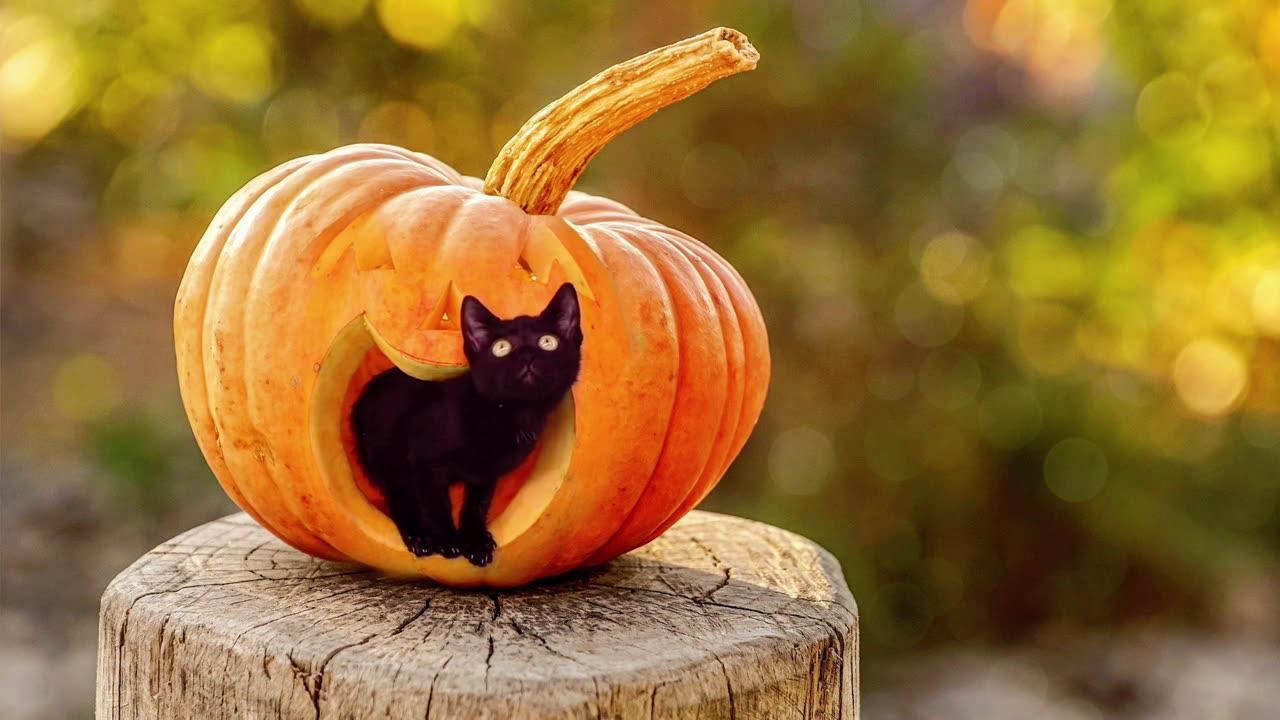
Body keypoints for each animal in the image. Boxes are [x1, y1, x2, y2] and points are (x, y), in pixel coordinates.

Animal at [355, 283, 586, 563]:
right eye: (501, 347)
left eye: (547, 342)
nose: (527, 356)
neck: (508, 416)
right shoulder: (424, 463)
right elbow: (436, 504)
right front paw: (446, 539)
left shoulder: (486, 475)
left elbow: (477, 505)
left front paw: (476, 541)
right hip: (385, 458)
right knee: (400, 498)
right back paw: (418, 536)